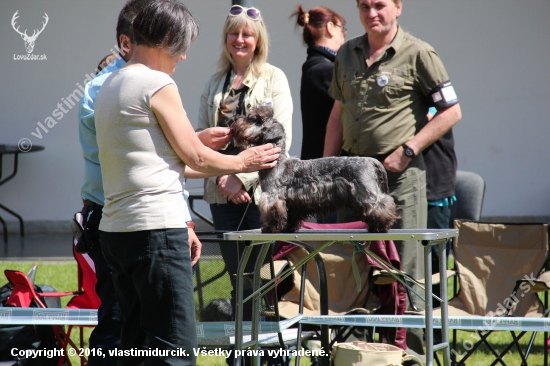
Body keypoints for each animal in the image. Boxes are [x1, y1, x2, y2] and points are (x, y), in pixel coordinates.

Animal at [233, 106, 402, 233]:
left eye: (257, 120)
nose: (236, 119)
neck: (277, 162)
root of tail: (372, 161)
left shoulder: (272, 197)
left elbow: (273, 214)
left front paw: (270, 228)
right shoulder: (292, 202)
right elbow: (290, 216)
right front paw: (287, 228)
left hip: (366, 191)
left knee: (381, 204)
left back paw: (380, 226)